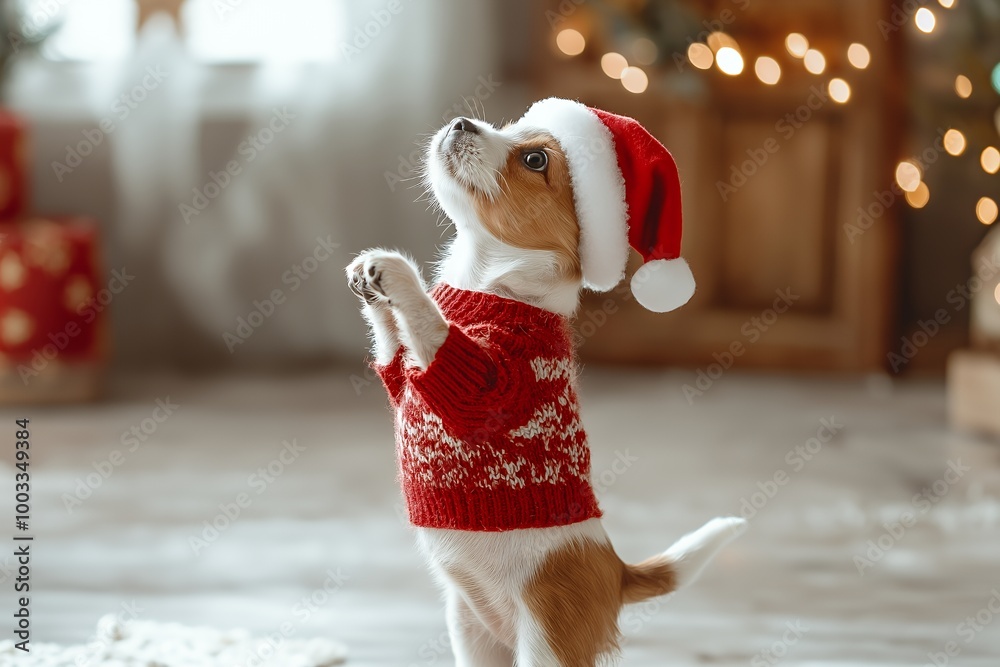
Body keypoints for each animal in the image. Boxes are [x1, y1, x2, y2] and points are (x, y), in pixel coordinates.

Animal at [348, 99, 748, 667]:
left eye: (535, 159)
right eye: (508, 127)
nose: (461, 122)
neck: (487, 285)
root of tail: (617, 573)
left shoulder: (487, 383)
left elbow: (432, 325)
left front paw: (397, 273)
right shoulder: (405, 379)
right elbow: (395, 347)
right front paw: (370, 280)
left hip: (546, 639)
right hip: (471, 632)